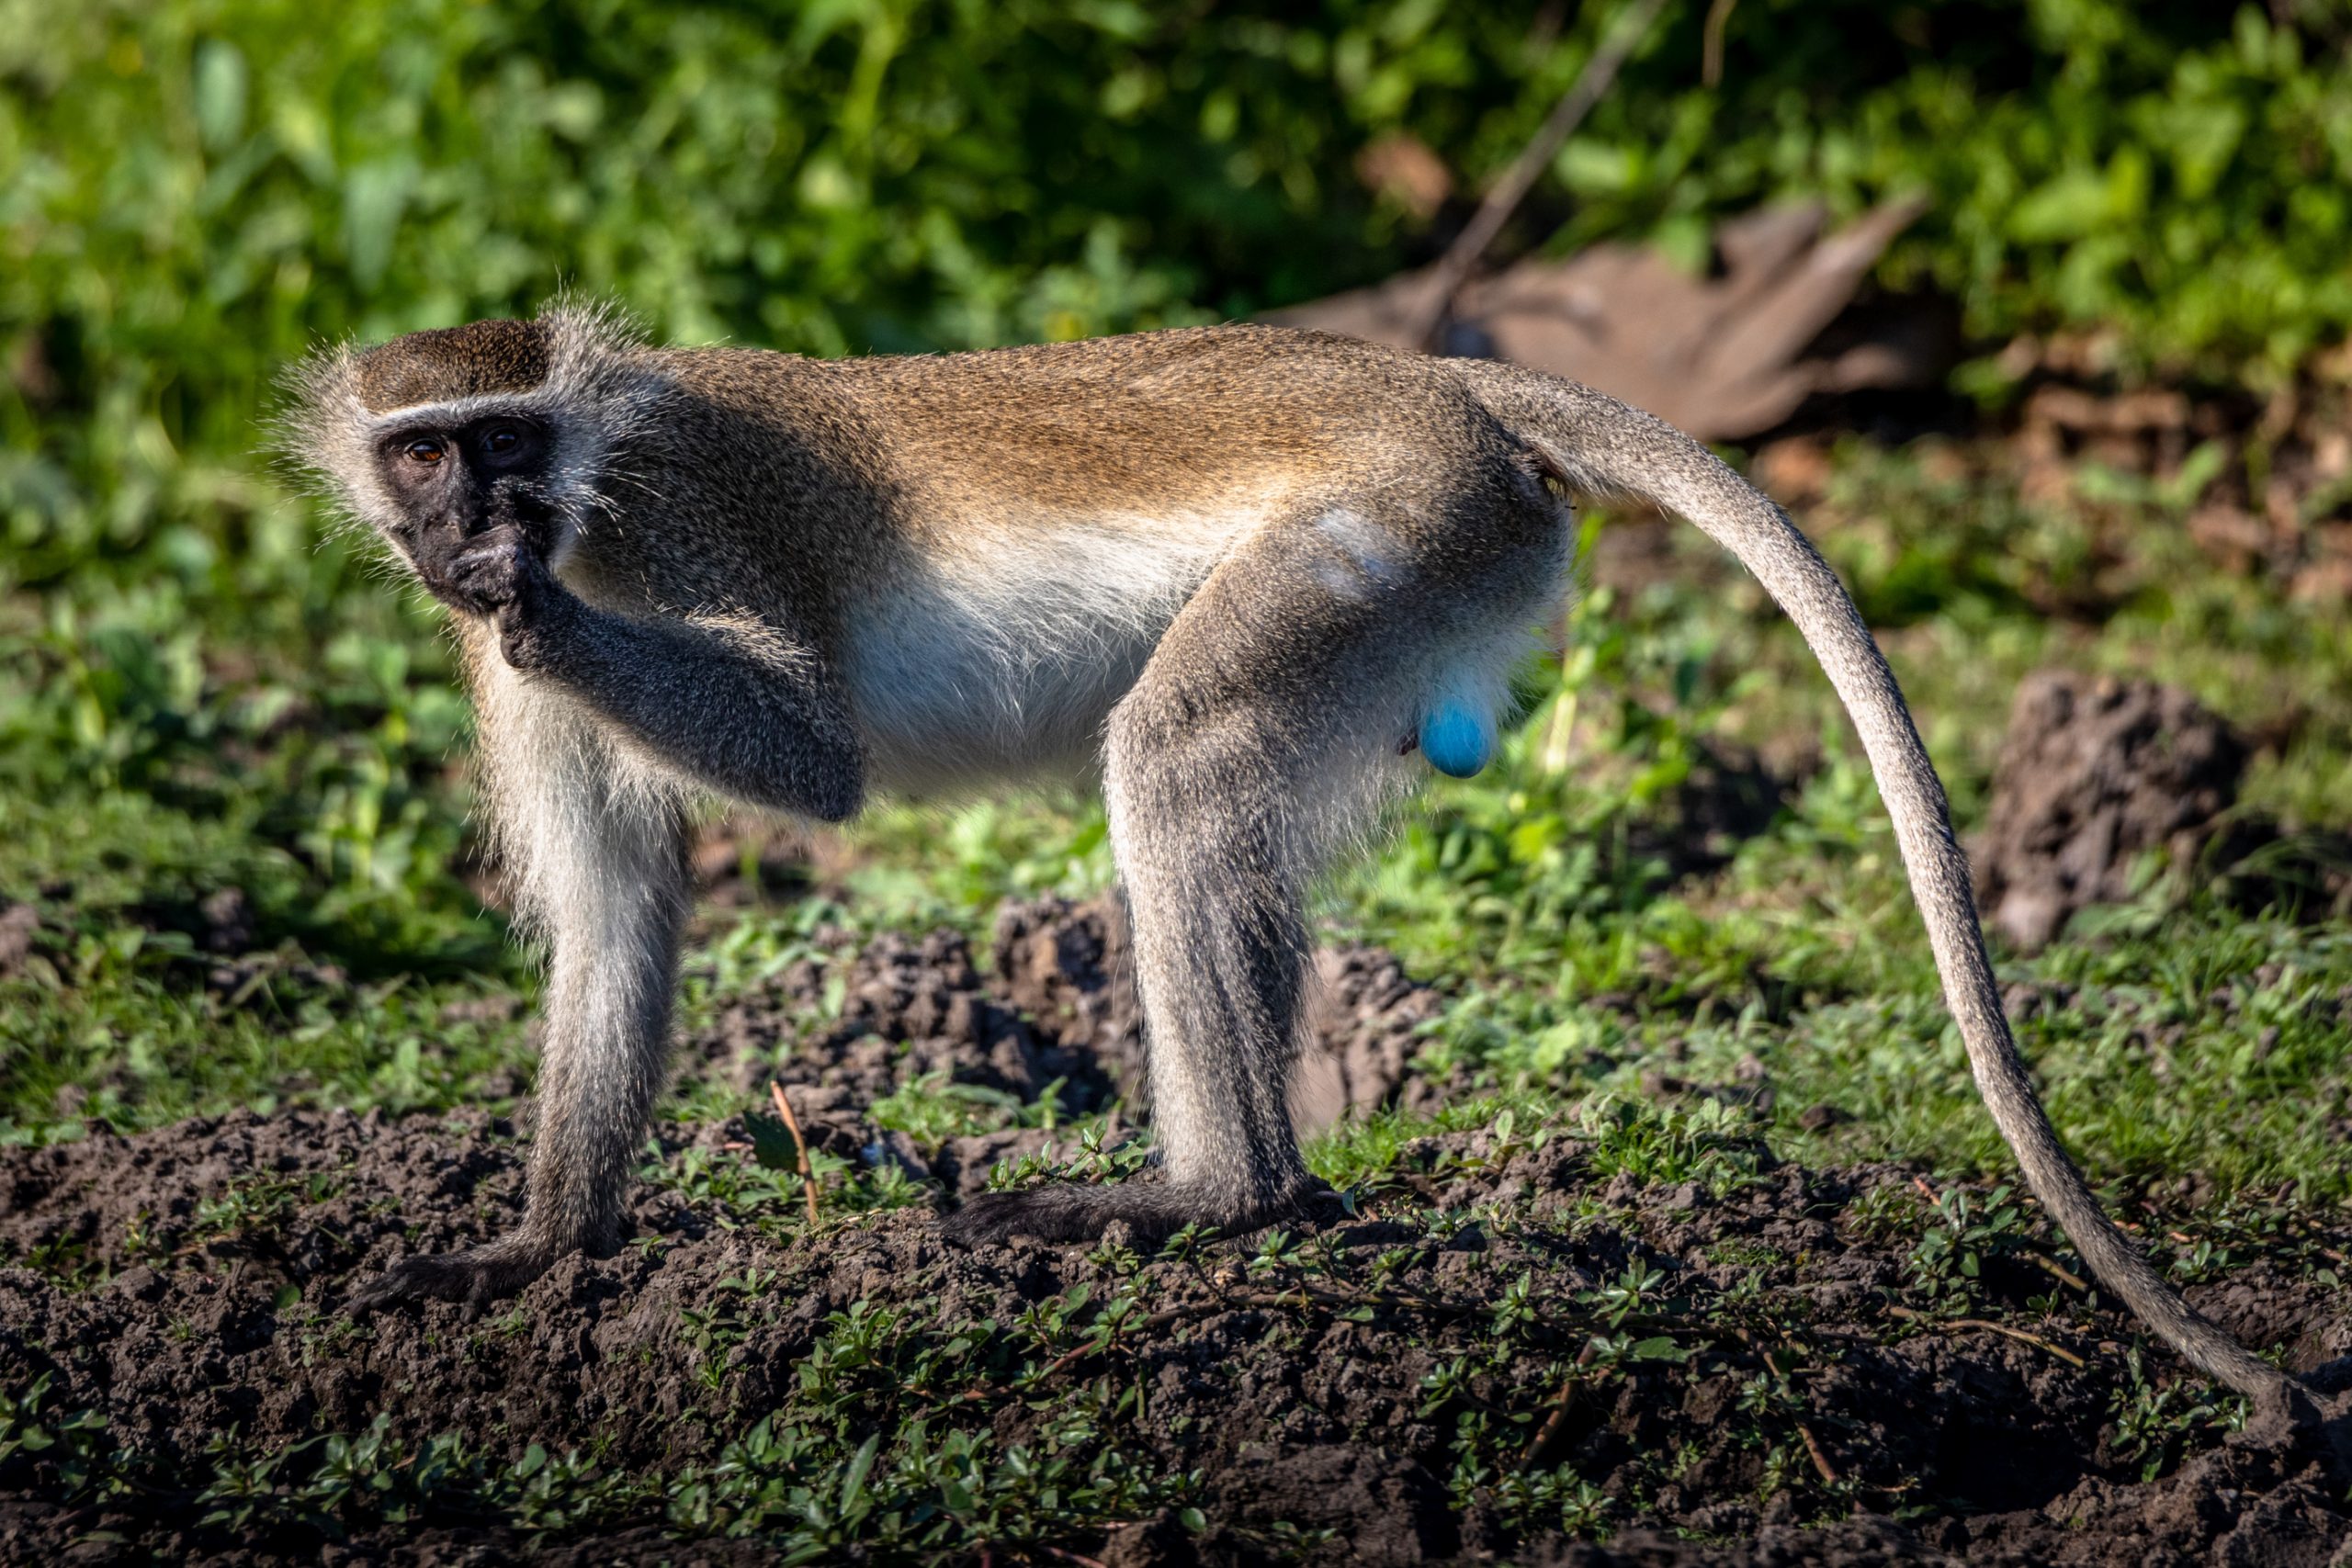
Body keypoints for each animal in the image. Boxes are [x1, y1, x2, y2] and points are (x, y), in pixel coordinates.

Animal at [285, 302, 2297, 1411]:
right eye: (428, 450)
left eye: (505, 440)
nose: (477, 526)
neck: (589, 492)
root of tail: (1444, 387)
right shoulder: (500, 665)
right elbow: (614, 908)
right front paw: (543, 1246)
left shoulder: (681, 524)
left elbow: (812, 757)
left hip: (1384, 529)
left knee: (1175, 770)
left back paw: (1214, 1194)